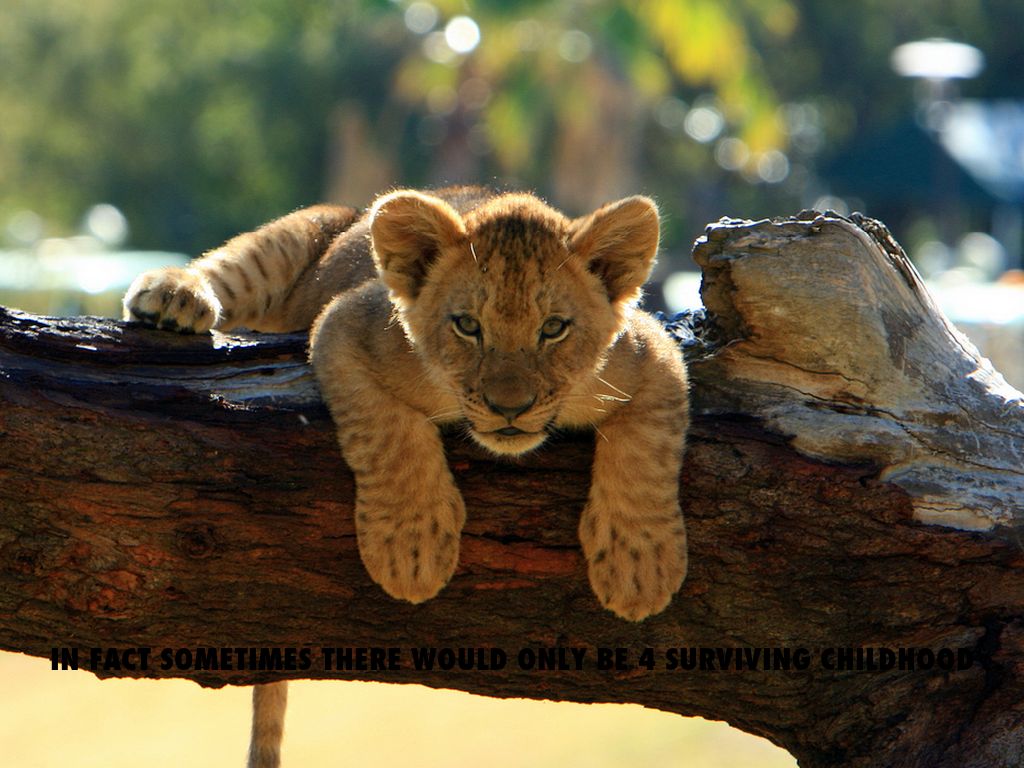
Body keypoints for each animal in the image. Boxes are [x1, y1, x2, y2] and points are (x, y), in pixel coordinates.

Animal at [123, 187, 690, 767]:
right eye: (467, 326)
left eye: (553, 328)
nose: (509, 408)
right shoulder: (344, 326)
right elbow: (387, 432)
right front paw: (411, 553)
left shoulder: (655, 354)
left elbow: (649, 448)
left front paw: (641, 567)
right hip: (305, 231)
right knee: (231, 267)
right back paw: (174, 297)